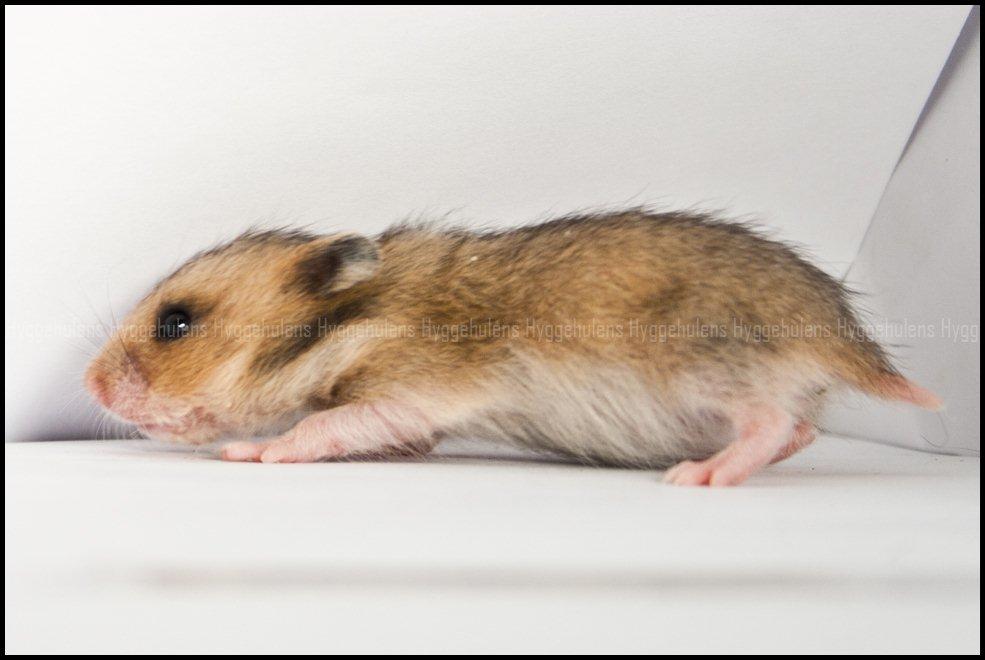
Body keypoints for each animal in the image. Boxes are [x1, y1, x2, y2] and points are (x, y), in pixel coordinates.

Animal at [85, 210, 941, 486]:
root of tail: (846, 340)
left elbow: (320, 425)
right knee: (798, 431)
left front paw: (248, 453)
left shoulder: (412, 388)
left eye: (175, 323)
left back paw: (696, 477)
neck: (352, 317)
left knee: (768, 425)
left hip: (706, 368)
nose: (88, 386)